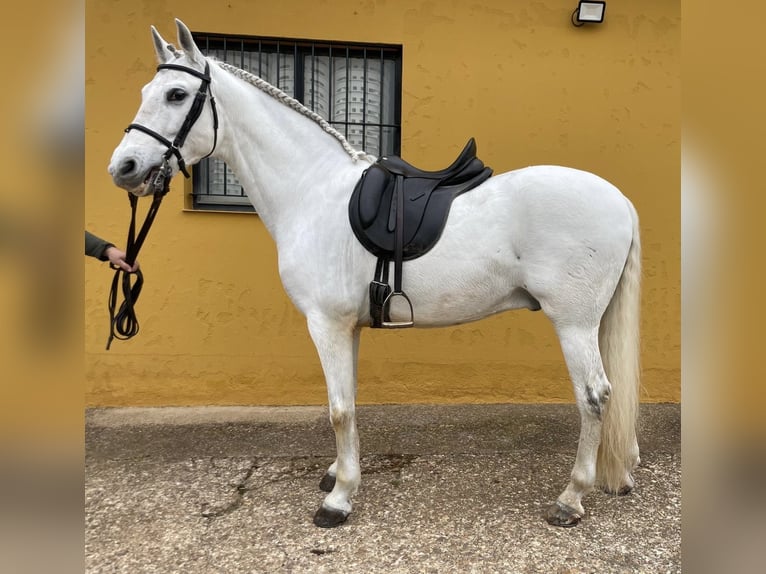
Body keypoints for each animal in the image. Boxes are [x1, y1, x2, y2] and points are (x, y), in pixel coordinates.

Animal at [108, 19, 641, 529]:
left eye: (176, 95)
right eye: (146, 91)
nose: (123, 167)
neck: (312, 192)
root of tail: (620, 199)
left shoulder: (325, 323)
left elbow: (338, 410)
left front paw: (339, 500)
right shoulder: (349, 326)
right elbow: (349, 400)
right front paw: (337, 475)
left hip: (573, 322)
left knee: (595, 396)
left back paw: (570, 499)